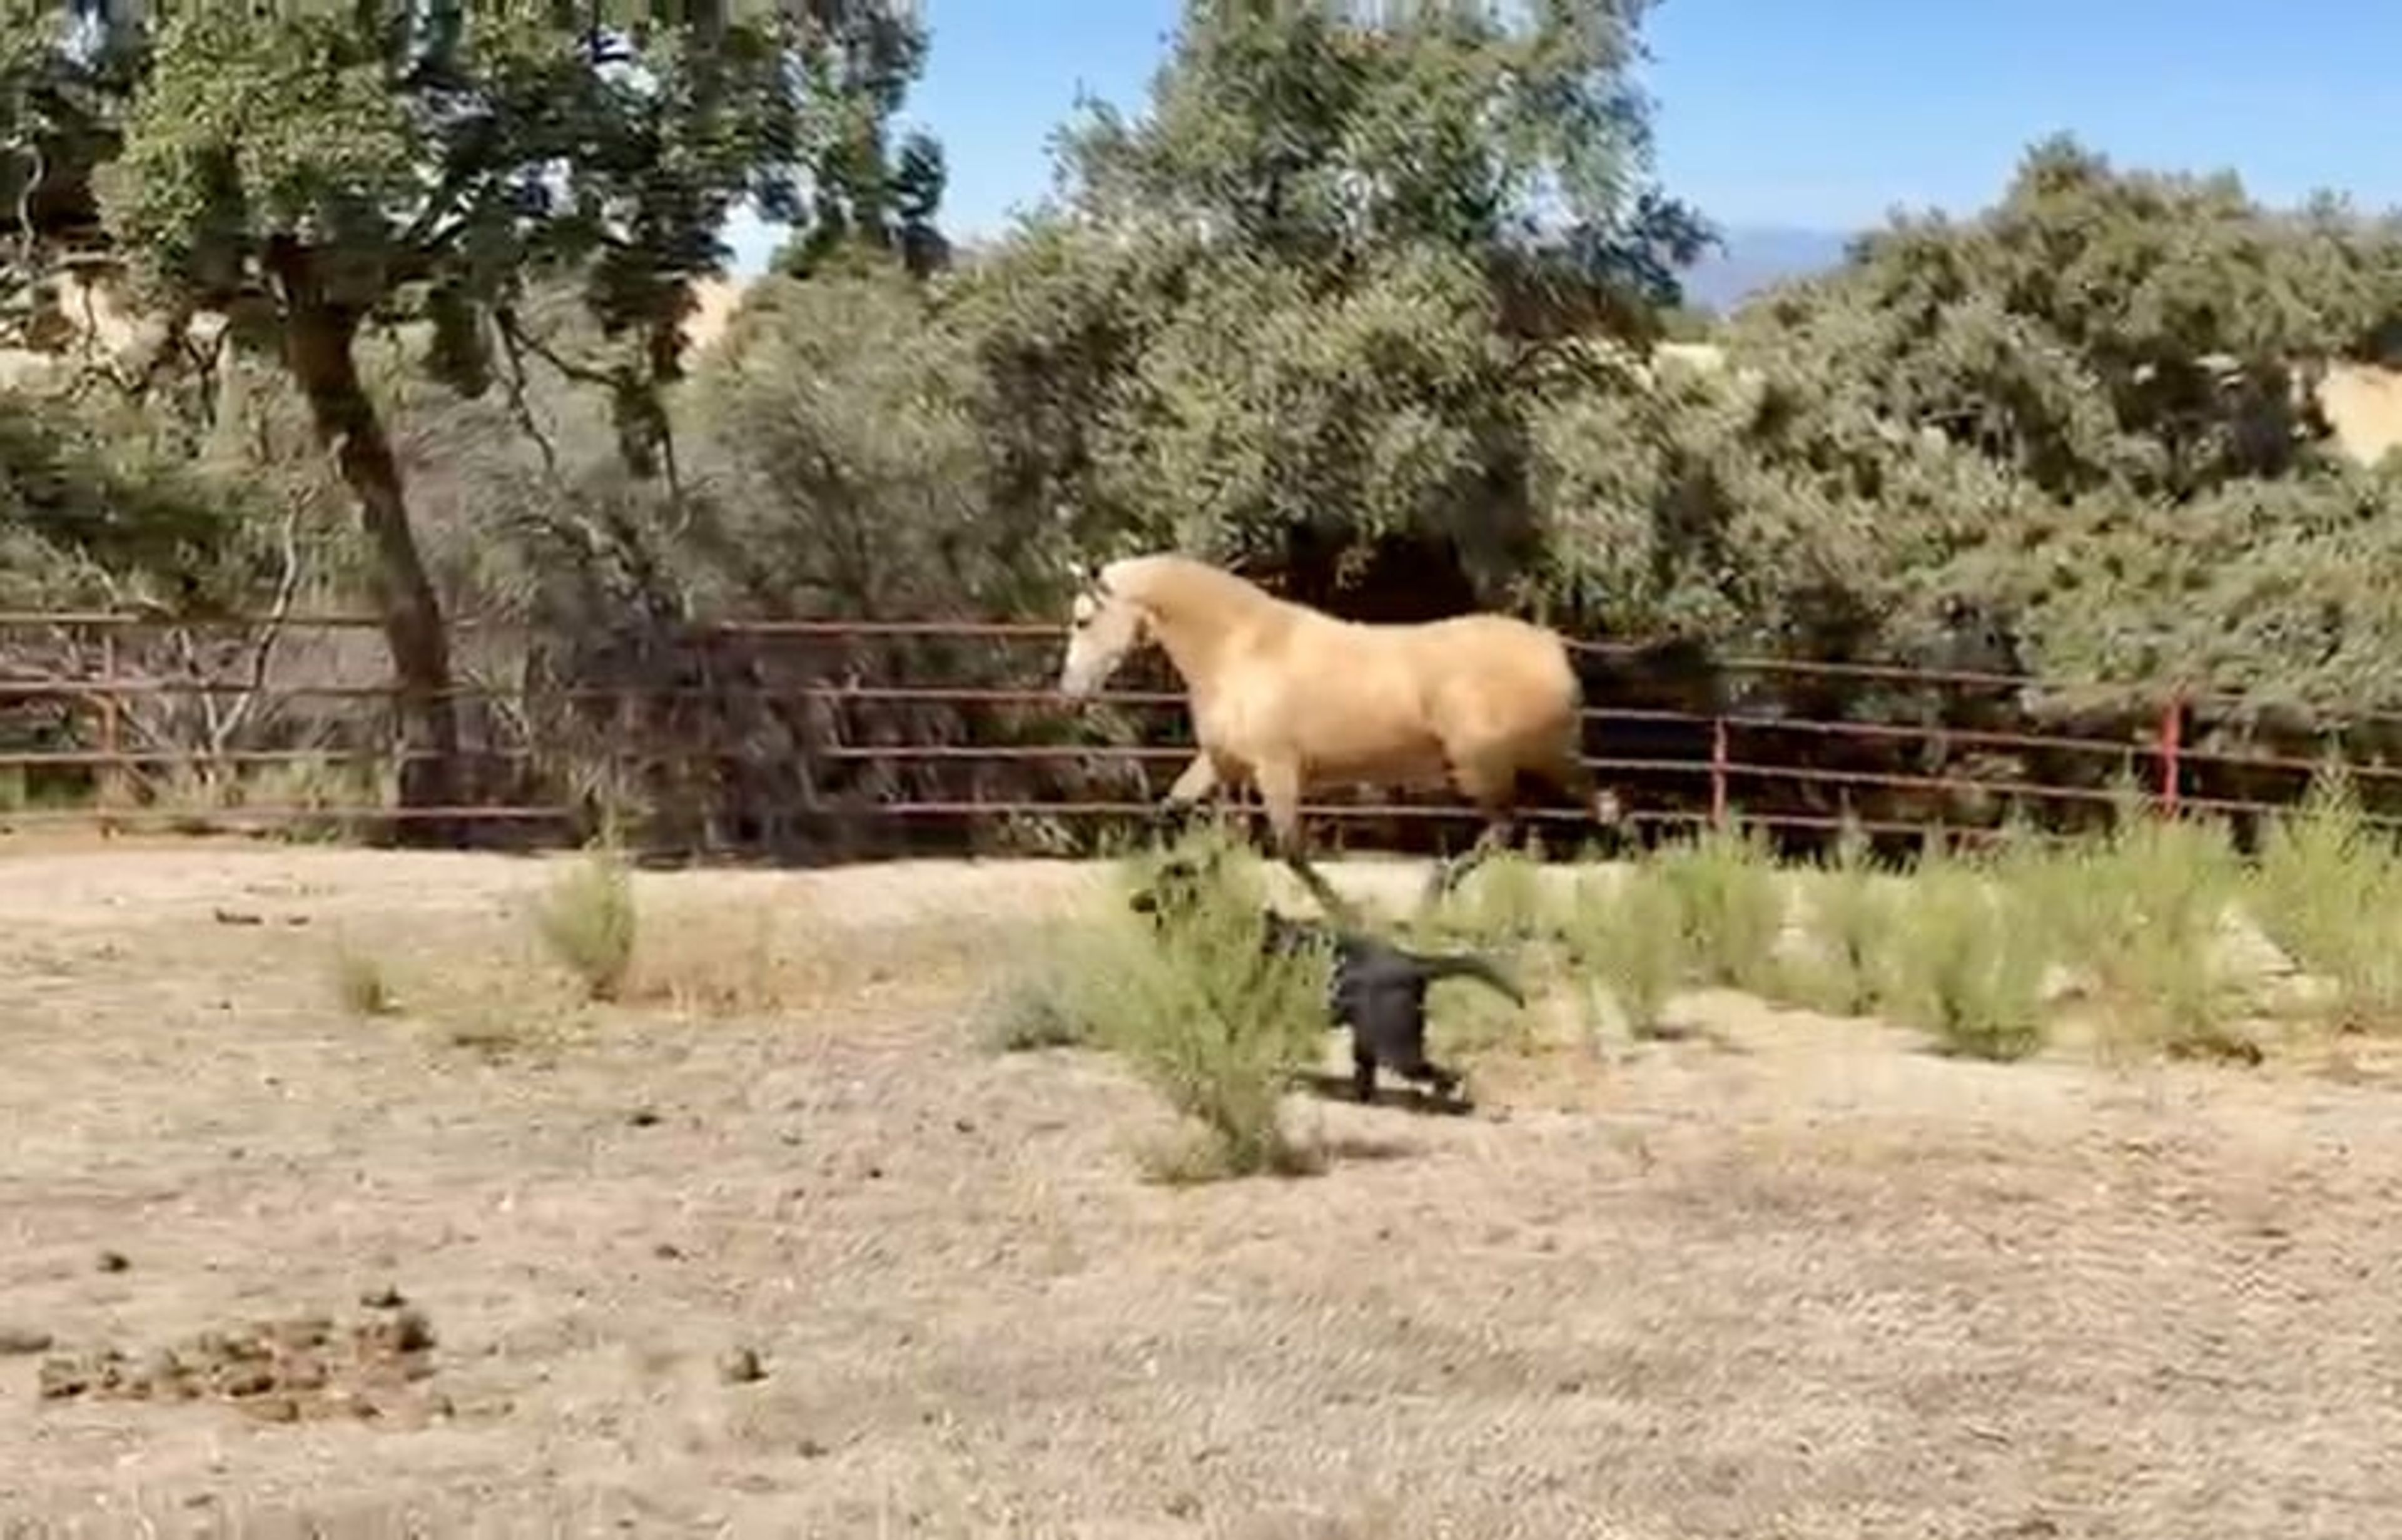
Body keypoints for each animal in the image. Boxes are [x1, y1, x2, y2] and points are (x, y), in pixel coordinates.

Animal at [1051, 551, 1626, 915]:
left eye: (1082, 621)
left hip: (1481, 766)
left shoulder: (1277, 770)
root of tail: (1551, 647)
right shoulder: (1222, 765)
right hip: (1550, 758)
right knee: (1605, 808)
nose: (1068, 694)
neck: (1242, 649)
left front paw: (1346, 913)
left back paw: (1430, 897)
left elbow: (1292, 852)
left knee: (1505, 829)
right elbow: (1170, 815)